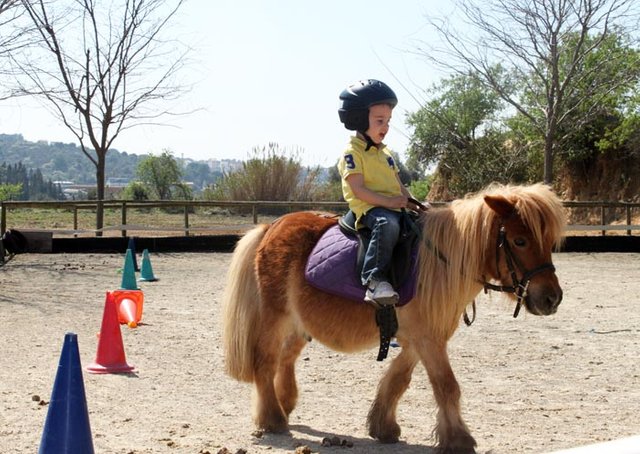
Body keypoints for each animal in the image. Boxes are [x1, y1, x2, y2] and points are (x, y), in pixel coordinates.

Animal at [220, 183, 564, 452]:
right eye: (519, 241)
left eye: (548, 242)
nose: (552, 298)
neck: (441, 261)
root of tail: (270, 228)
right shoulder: (428, 340)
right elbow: (446, 385)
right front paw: (459, 439)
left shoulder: (416, 339)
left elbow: (399, 380)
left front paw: (382, 425)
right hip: (274, 318)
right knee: (265, 362)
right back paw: (273, 418)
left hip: (298, 324)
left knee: (285, 359)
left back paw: (285, 403)